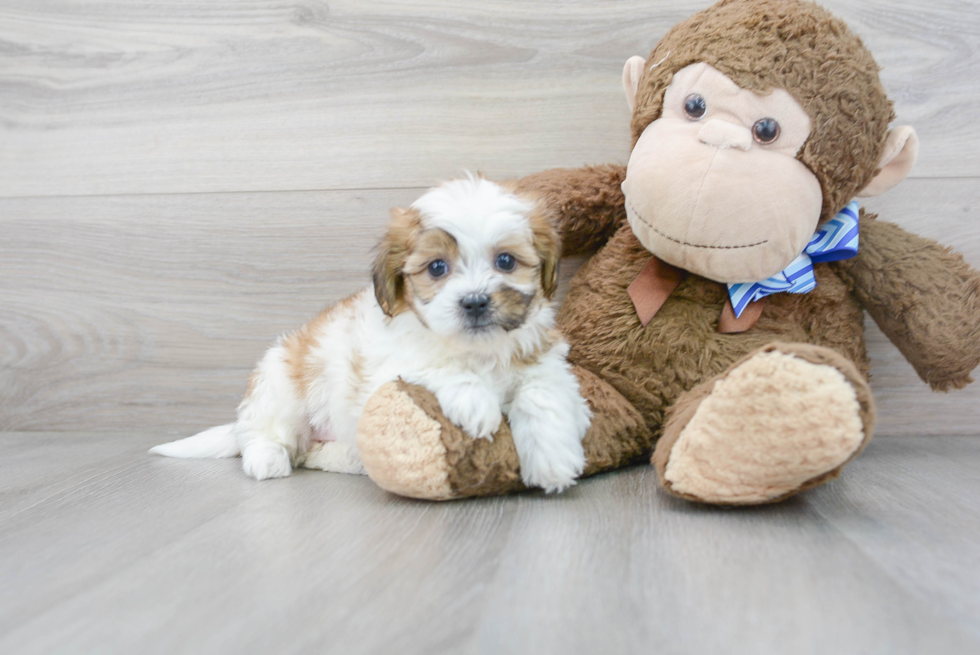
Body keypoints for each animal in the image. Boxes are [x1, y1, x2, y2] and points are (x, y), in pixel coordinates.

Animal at [152, 177, 592, 494]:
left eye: (505, 261)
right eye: (437, 267)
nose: (475, 302)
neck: (476, 349)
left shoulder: (541, 361)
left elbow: (542, 394)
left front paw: (553, 460)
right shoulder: (386, 368)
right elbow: (436, 366)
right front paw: (477, 403)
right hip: (280, 386)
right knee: (265, 435)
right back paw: (267, 459)